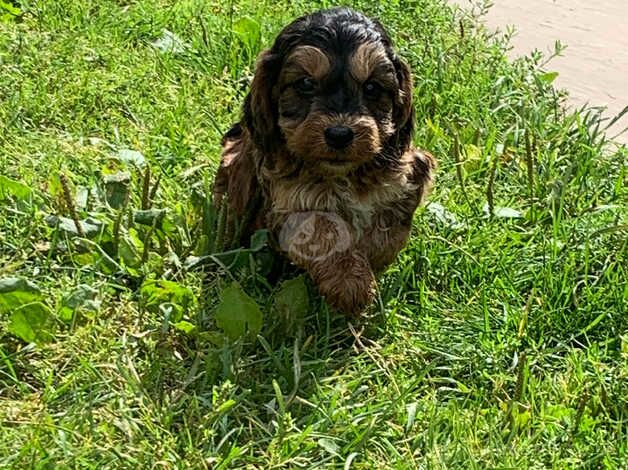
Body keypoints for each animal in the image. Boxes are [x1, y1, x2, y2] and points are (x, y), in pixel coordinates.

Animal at [213, 6, 434, 316]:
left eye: (372, 88)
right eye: (306, 83)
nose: (340, 134)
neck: (343, 174)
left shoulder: (411, 170)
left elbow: (387, 229)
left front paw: (369, 264)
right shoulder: (287, 198)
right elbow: (323, 226)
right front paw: (351, 284)